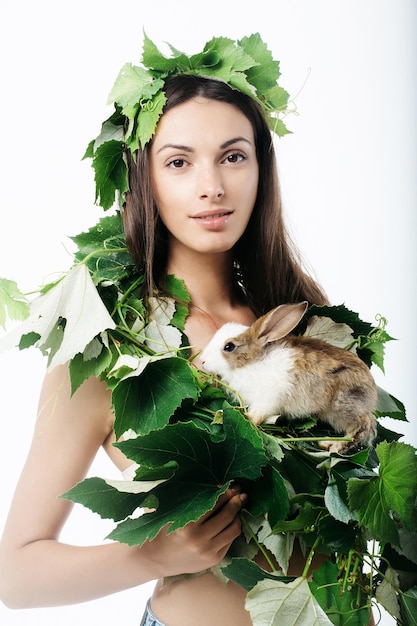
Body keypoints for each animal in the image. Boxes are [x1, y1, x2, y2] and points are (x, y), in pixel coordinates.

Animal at [200, 300, 378, 450]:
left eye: (229, 346)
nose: (202, 361)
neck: (252, 362)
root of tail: (372, 391)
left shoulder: (269, 397)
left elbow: (258, 412)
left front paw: (246, 417)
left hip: (341, 407)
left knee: (363, 426)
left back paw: (331, 445)